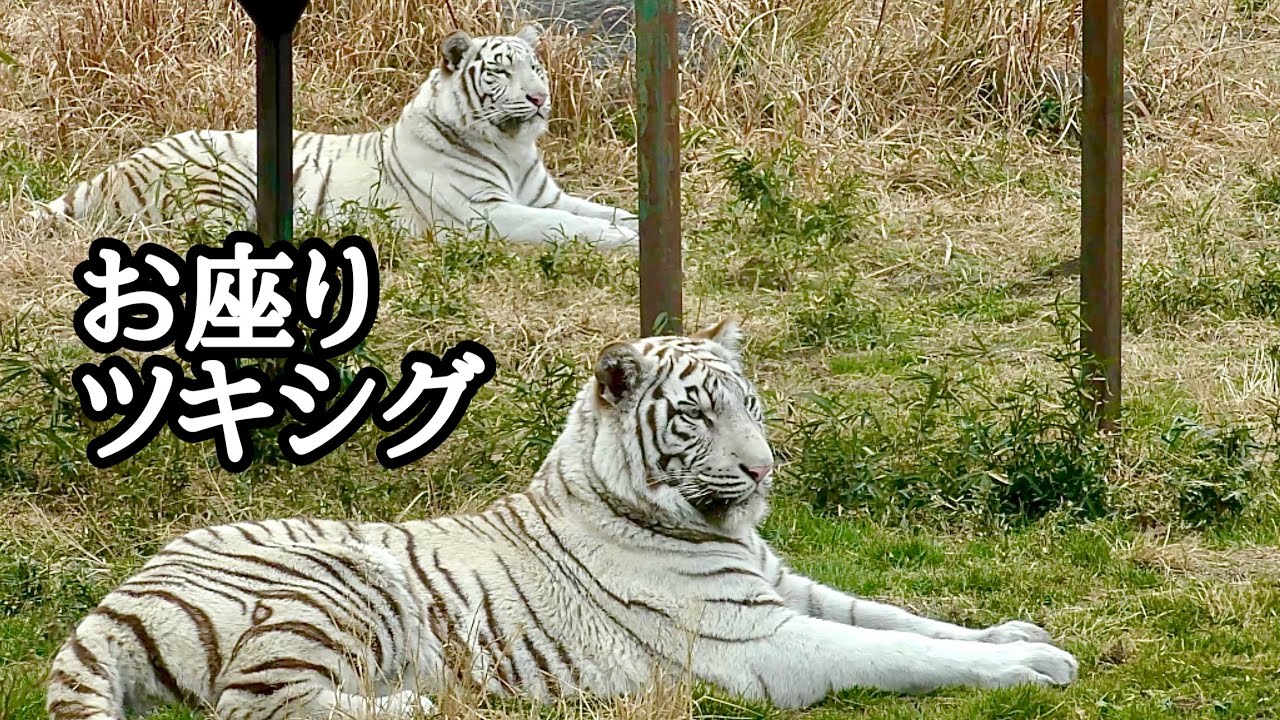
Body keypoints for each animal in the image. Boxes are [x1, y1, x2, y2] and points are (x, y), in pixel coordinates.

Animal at [29, 25, 640, 250]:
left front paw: (648, 228)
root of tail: (112, 169)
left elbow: (606, 210)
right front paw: (627, 243)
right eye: (500, 72)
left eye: (536, 68)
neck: (511, 147)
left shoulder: (544, 194)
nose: (539, 99)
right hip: (219, 184)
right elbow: (570, 227)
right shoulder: (486, 213)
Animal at [45, 317, 1079, 720]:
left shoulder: (781, 586)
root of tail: (110, 602)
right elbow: (899, 649)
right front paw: (1028, 669)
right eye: (697, 415)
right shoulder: (763, 641)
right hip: (339, 587)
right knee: (252, 704)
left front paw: (1019, 634)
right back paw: (420, 703)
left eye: (751, 403)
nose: (763, 468)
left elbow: (903, 616)